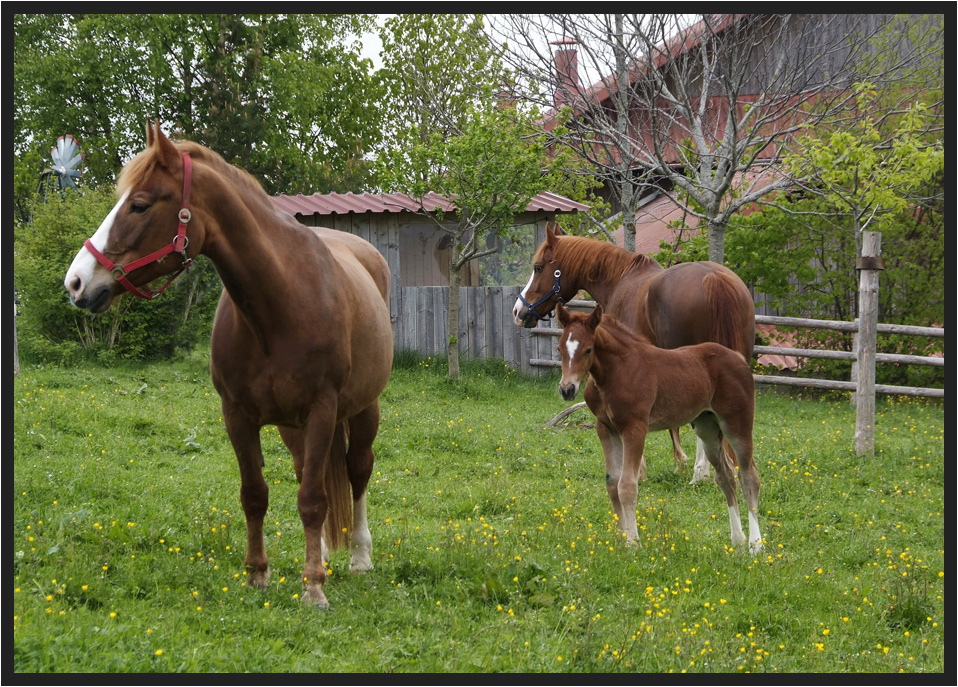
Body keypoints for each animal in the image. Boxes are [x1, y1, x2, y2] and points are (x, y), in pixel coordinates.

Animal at [64, 121, 394, 612]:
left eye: (139, 204)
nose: (76, 282)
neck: (279, 306)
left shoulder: (322, 411)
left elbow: (314, 500)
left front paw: (313, 587)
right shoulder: (237, 415)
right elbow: (256, 495)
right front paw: (258, 575)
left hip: (360, 410)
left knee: (357, 470)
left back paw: (358, 555)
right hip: (292, 428)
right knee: (306, 474)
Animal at [512, 226, 752, 484]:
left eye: (538, 268)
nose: (518, 311)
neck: (619, 281)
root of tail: (713, 278)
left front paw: (643, 469)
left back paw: (700, 472)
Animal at [556, 306, 764, 552]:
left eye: (588, 350)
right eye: (560, 348)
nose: (567, 389)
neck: (617, 370)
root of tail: (739, 358)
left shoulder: (635, 427)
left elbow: (627, 485)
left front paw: (633, 543)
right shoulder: (605, 428)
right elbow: (612, 482)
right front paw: (620, 539)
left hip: (736, 423)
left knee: (749, 477)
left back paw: (756, 545)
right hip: (707, 428)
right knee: (726, 477)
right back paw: (738, 541)